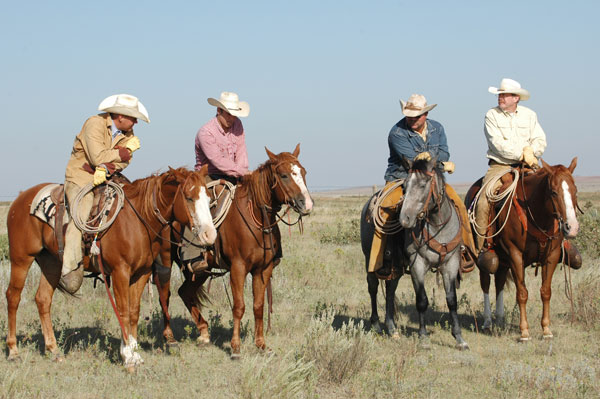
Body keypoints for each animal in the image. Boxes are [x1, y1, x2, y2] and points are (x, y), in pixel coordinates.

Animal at [4, 166, 217, 368]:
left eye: (208, 197)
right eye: (189, 198)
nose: (210, 234)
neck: (138, 218)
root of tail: (20, 199)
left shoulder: (141, 273)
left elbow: (133, 312)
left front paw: (135, 352)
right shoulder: (120, 271)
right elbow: (123, 310)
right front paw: (127, 356)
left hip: (51, 262)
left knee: (43, 299)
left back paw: (53, 349)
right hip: (21, 259)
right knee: (13, 297)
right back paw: (13, 351)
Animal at [152, 145, 312, 360]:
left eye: (303, 172)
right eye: (284, 175)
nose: (307, 204)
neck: (257, 220)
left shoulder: (263, 270)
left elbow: (258, 306)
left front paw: (261, 345)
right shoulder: (238, 268)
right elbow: (239, 306)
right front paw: (235, 348)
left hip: (201, 271)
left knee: (184, 292)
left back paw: (204, 333)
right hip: (164, 262)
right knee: (165, 295)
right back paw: (170, 339)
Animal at [398, 158, 468, 352]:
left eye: (423, 185)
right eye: (404, 186)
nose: (404, 219)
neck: (438, 226)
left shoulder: (451, 264)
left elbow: (452, 300)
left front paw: (459, 338)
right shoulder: (417, 264)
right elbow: (422, 300)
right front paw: (423, 337)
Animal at [466, 159, 580, 340]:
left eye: (575, 190)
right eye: (554, 192)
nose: (572, 227)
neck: (535, 214)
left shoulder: (552, 256)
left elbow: (546, 291)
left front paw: (546, 329)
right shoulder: (515, 255)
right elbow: (522, 293)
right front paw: (524, 331)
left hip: (503, 261)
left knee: (499, 282)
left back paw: (500, 319)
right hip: (482, 258)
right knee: (486, 283)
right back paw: (488, 322)